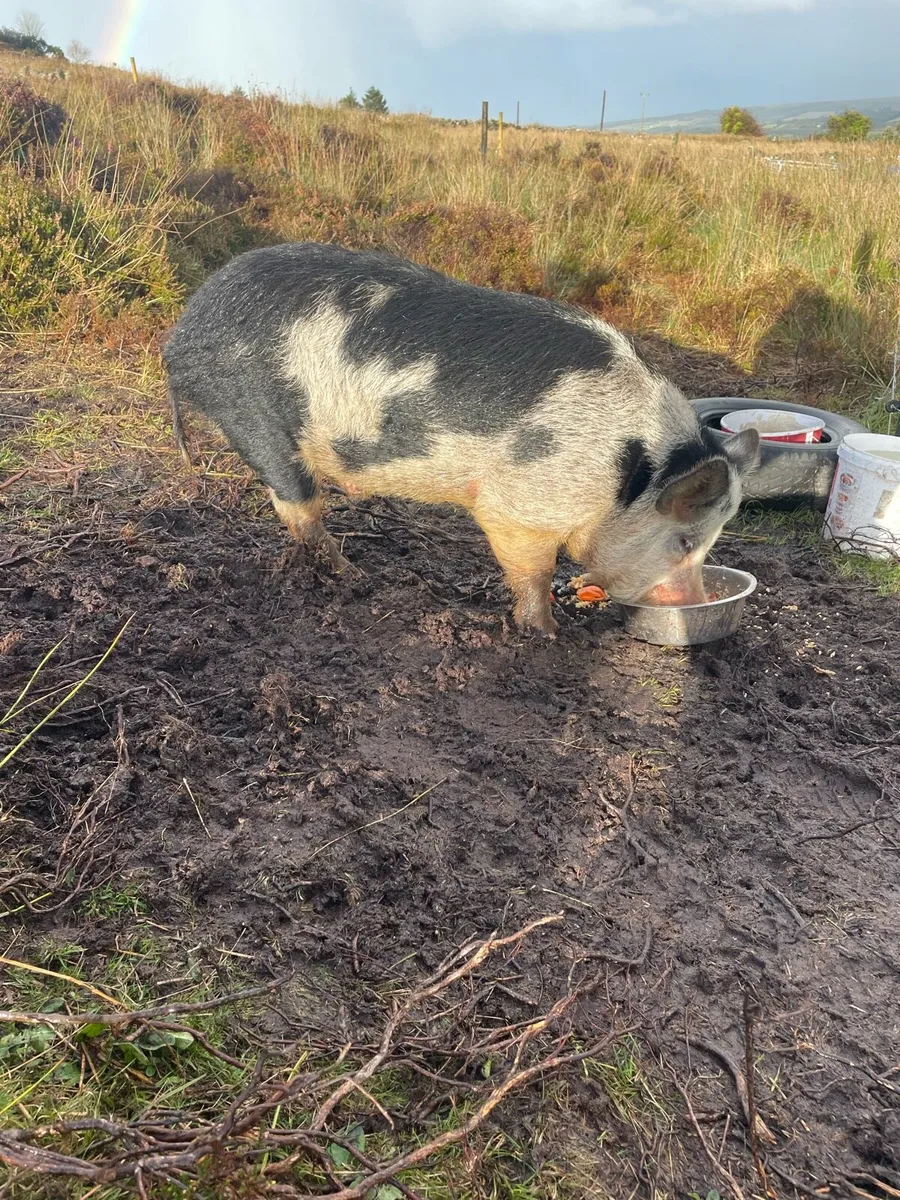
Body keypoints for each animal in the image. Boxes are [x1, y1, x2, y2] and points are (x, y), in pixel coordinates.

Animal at [164, 242, 759, 636]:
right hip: (254, 415)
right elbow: (534, 571)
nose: (691, 602)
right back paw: (353, 576)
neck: (628, 473)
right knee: (297, 505)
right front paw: (546, 634)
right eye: (685, 541)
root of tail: (183, 331)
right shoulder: (521, 506)